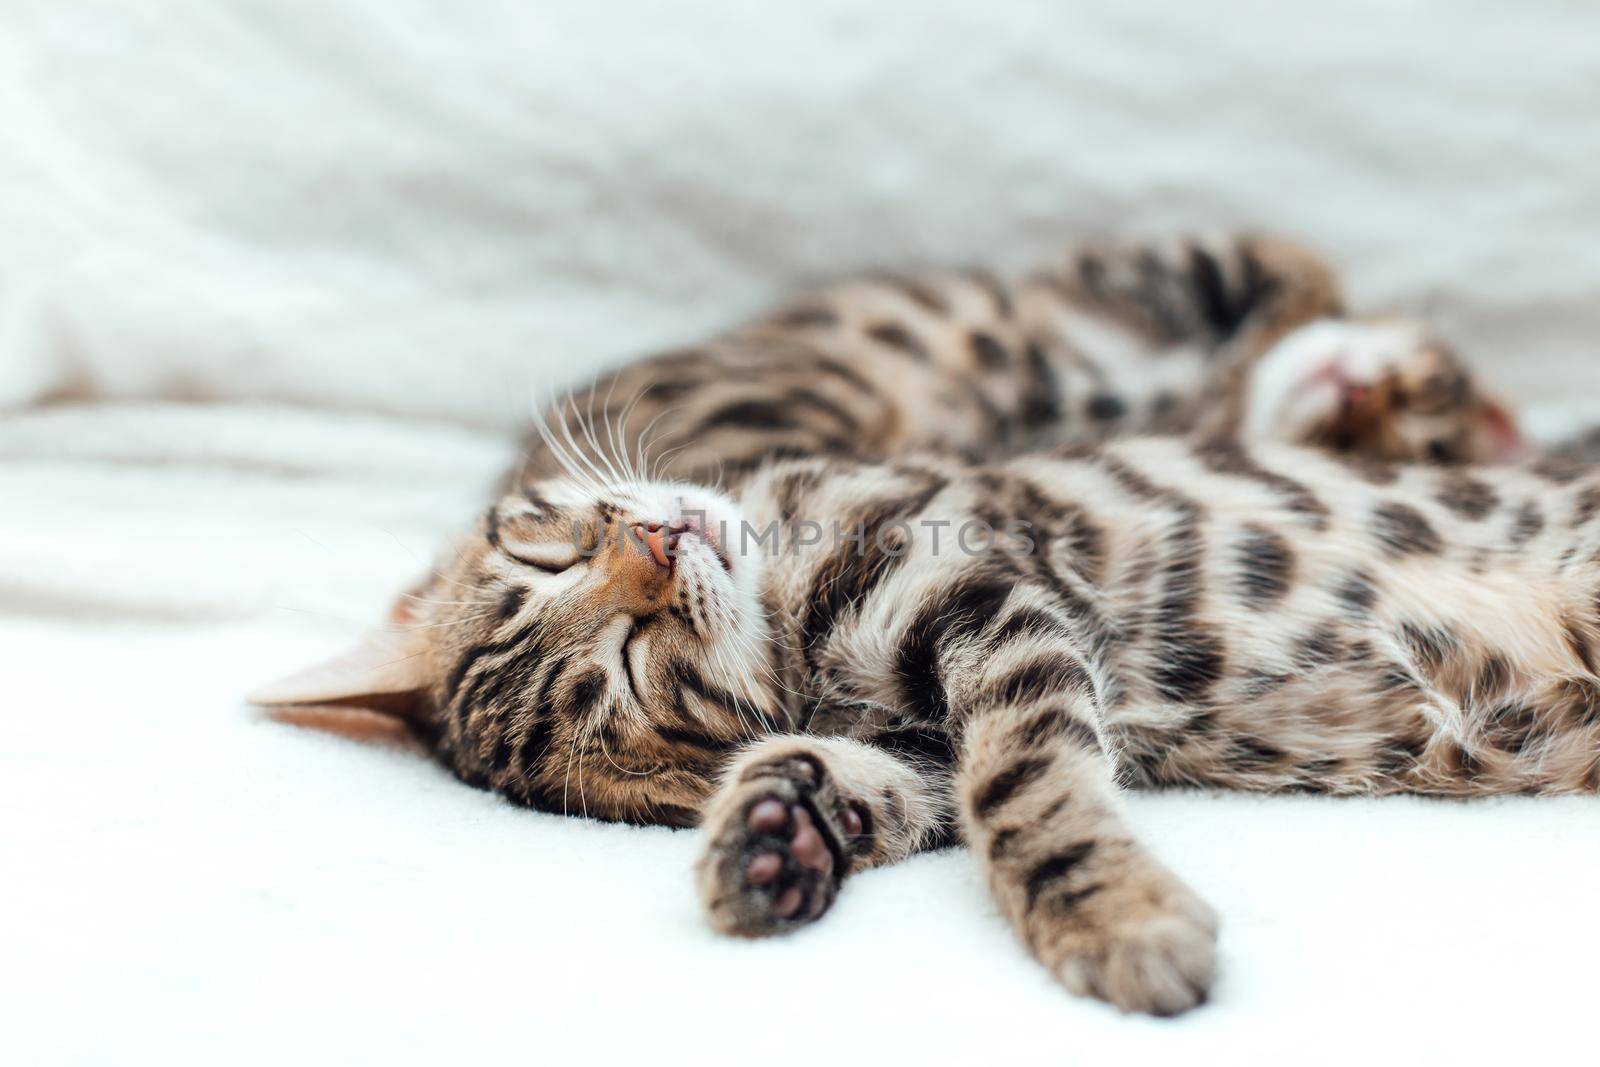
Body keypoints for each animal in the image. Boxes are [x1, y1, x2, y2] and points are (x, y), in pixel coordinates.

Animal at [249, 233, 1587, 1017]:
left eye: (542, 552)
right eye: (632, 672)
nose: (660, 539)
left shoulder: (988, 592)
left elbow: (1027, 789)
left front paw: (1112, 915)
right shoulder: (941, 720)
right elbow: (911, 786)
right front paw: (776, 834)